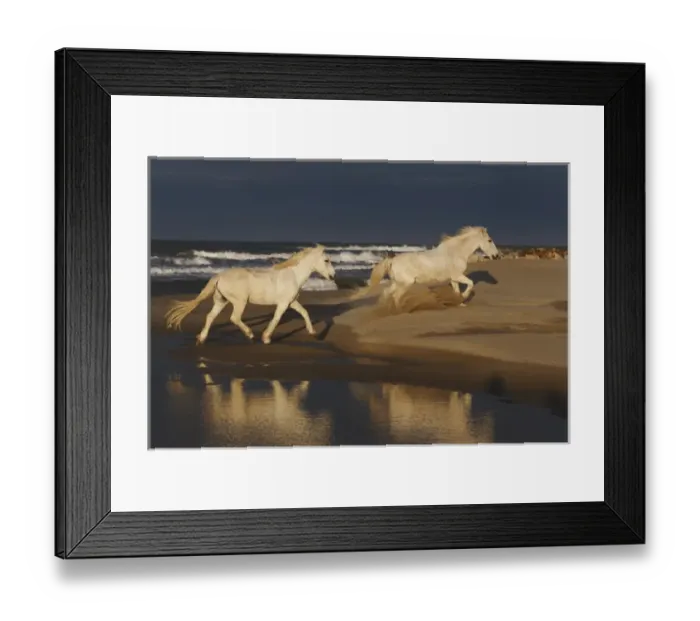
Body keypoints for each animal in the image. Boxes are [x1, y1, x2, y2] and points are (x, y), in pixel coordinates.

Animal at [164, 245, 336, 345]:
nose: (333, 276)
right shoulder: (283, 304)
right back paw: (250, 334)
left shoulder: (292, 302)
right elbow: (277, 318)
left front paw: (313, 333)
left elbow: (305, 312)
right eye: (326, 260)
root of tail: (219, 276)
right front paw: (266, 338)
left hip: (221, 301)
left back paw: (201, 338)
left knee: (210, 316)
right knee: (234, 318)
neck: (292, 274)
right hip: (240, 302)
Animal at [364, 226, 500, 304]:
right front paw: (464, 296)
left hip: (397, 283)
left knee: (387, 293)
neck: (456, 252)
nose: (497, 256)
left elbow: (457, 291)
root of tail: (392, 261)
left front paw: (460, 302)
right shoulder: (457, 276)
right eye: (489, 240)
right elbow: (470, 283)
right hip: (405, 283)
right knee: (396, 296)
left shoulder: (453, 279)